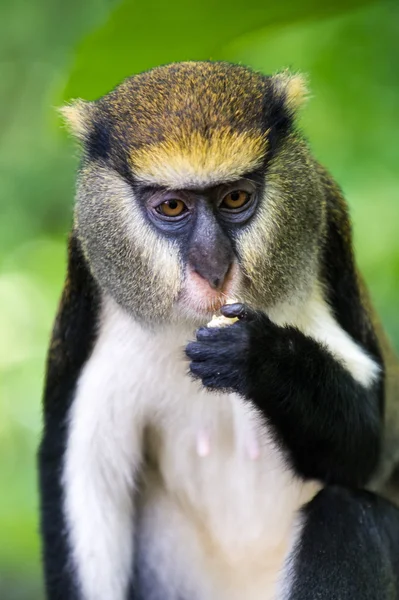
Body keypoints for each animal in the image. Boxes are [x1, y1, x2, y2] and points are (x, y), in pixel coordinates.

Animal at [39, 62, 399, 600]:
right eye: (172, 207)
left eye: (235, 198)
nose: (213, 267)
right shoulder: (87, 282)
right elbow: (85, 474)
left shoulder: (326, 239)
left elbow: (367, 450)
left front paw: (260, 358)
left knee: (349, 511)